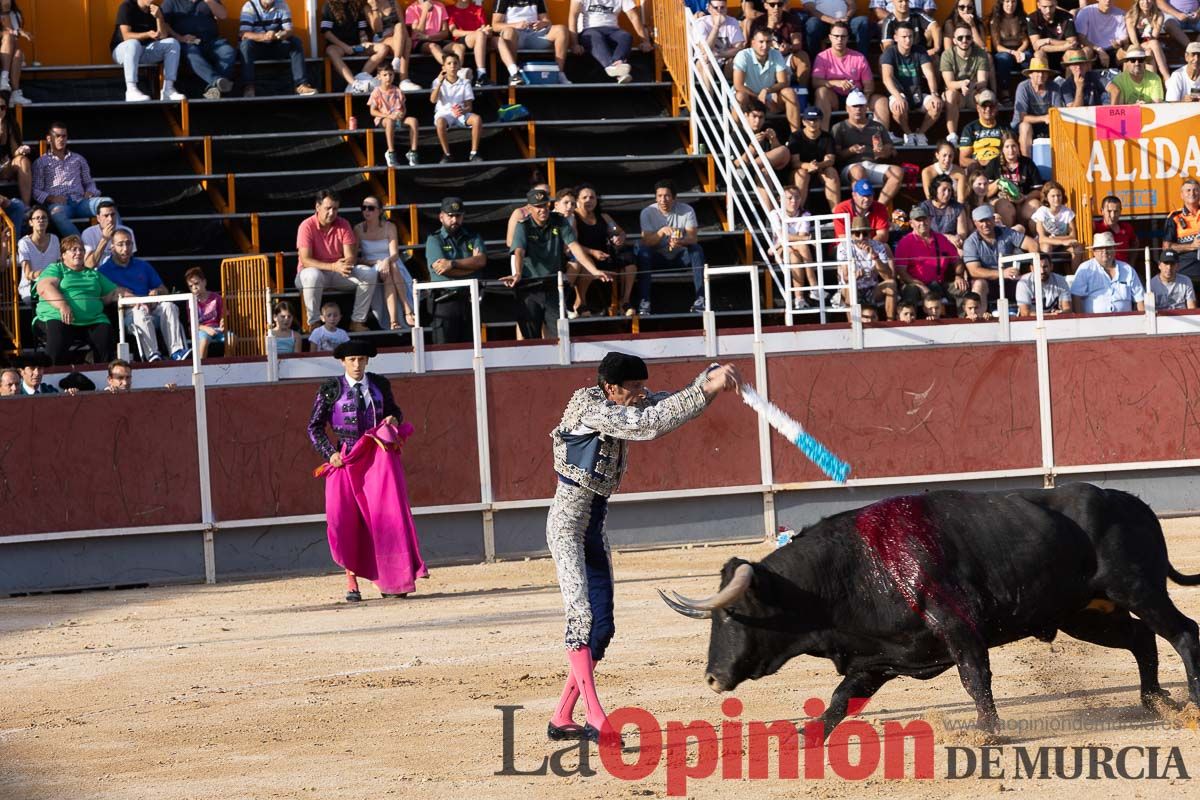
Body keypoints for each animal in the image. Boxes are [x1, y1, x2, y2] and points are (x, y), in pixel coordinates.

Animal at [657, 484, 1200, 734]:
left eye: (728, 615)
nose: (711, 677)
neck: (847, 572)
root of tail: (1133, 503)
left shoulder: (958, 626)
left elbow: (974, 678)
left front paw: (989, 734)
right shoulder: (876, 659)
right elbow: (838, 702)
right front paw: (803, 738)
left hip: (1138, 590)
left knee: (1182, 632)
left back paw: (1190, 702)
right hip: (1086, 613)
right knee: (1142, 639)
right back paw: (1155, 701)